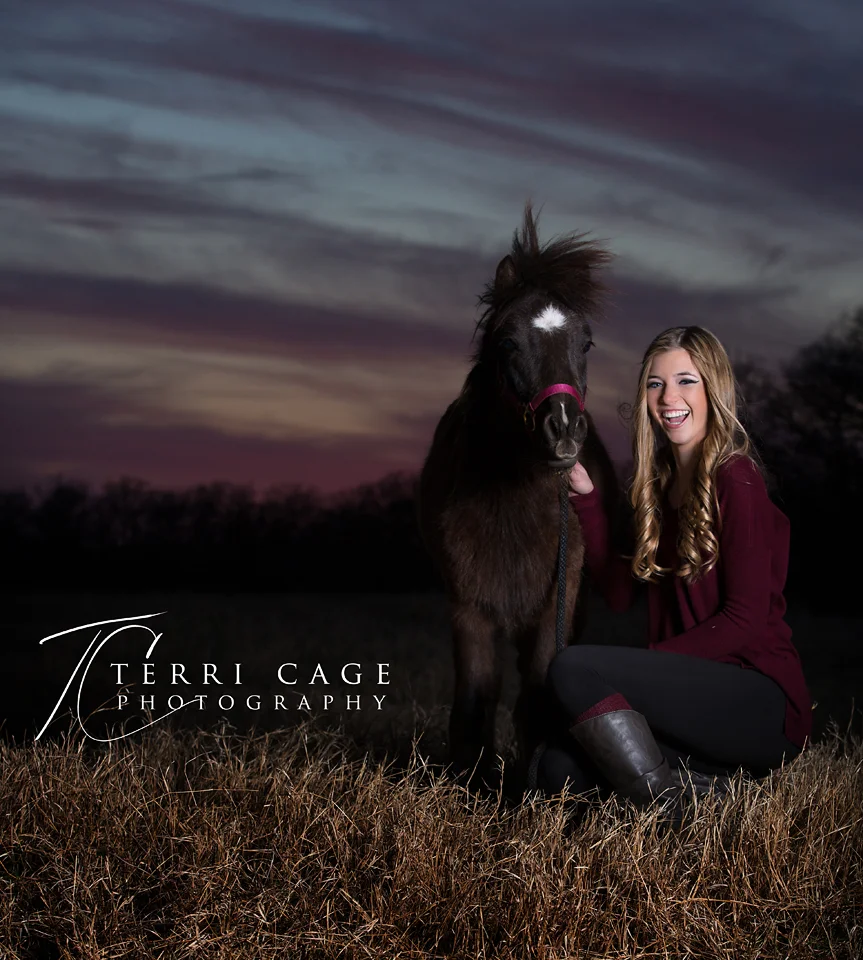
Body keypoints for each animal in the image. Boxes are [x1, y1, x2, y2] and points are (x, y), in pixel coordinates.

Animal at [417, 203, 619, 790]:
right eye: (507, 342)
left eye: (585, 343)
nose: (564, 430)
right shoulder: (468, 605)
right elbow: (474, 702)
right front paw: (470, 786)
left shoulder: (556, 603)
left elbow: (536, 699)